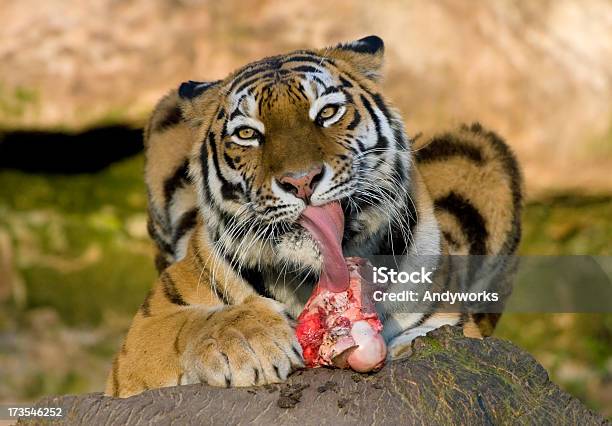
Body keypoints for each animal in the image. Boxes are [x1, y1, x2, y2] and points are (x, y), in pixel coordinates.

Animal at [105, 35, 520, 398]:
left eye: (327, 113)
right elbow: (187, 324)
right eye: (247, 134)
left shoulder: (445, 316)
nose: (301, 181)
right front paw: (248, 341)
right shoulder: (146, 329)